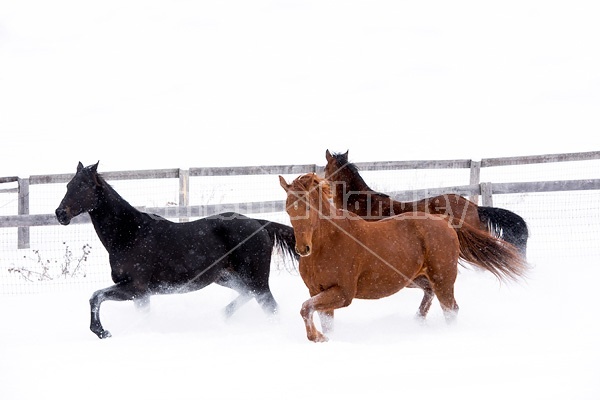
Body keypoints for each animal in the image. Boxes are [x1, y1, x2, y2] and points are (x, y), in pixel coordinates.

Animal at [278, 173, 528, 342]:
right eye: (288, 209)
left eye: (308, 208)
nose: (303, 248)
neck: (330, 243)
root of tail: (445, 222)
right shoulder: (317, 291)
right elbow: (319, 317)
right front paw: (324, 337)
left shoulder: (343, 293)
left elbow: (305, 308)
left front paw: (317, 337)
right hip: (414, 279)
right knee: (430, 295)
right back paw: (416, 322)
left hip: (443, 278)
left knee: (450, 308)